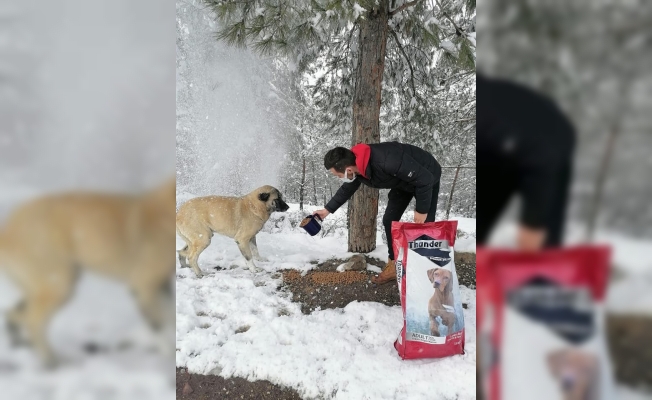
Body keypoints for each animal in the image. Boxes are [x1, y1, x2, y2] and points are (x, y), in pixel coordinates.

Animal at [0, 178, 176, 367]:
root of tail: (6, 232)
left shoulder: (162, 285)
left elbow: (170, 316)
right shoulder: (143, 285)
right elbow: (158, 326)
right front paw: (168, 358)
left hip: (45, 285)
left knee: (14, 314)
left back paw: (21, 345)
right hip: (58, 285)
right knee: (32, 322)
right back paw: (51, 362)